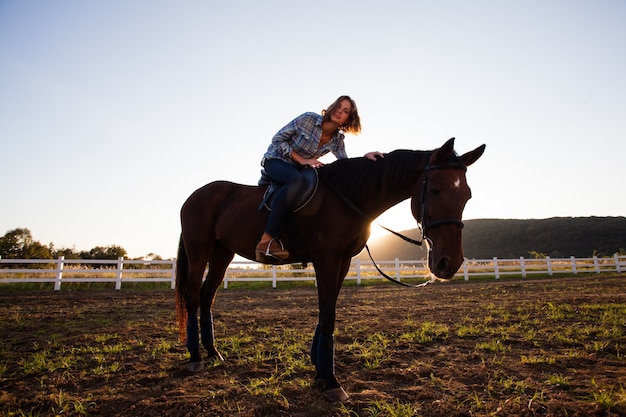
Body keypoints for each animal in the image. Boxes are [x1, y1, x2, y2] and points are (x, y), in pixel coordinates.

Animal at [174, 136, 482, 400]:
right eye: (435, 190)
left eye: (467, 195)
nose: (449, 263)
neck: (348, 196)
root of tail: (194, 196)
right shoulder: (327, 260)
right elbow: (328, 315)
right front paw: (332, 381)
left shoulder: (342, 262)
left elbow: (327, 311)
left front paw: (321, 371)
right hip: (199, 252)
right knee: (193, 297)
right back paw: (195, 358)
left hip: (222, 253)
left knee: (207, 297)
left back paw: (213, 352)